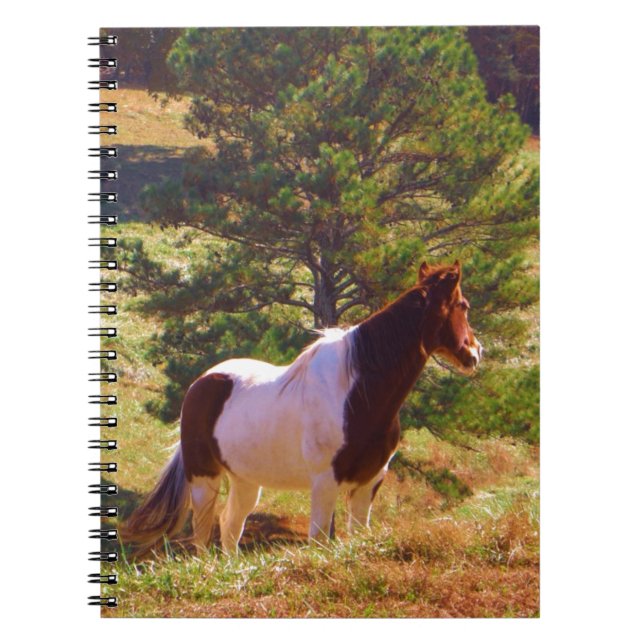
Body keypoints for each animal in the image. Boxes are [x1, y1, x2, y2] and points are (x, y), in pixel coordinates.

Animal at [123, 261, 482, 555]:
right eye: (463, 305)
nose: (476, 353)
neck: (356, 392)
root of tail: (201, 383)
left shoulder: (369, 482)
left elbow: (358, 535)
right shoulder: (325, 481)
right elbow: (319, 540)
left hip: (246, 481)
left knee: (230, 525)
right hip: (203, 478)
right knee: (202, 531)